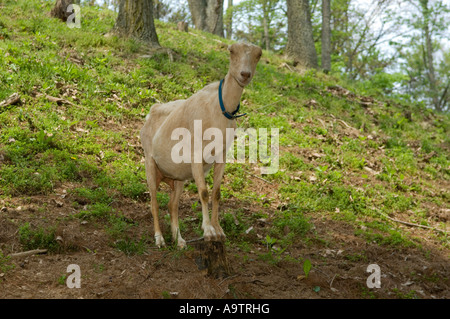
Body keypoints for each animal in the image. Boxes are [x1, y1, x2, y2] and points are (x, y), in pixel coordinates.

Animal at [139, 42, 262, 249]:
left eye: (258, 55)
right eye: (232, 51)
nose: (245, 74)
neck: (219, 110)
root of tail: (152, 110)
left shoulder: (221, 155)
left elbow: (216, 193)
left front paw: (218, 230)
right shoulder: (196, 152)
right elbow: (203, 192)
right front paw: (209, 231)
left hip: (178, 177)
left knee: (172, 204)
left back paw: (179, 240)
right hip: (150, 163)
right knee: (154, 201)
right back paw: (160, 239)